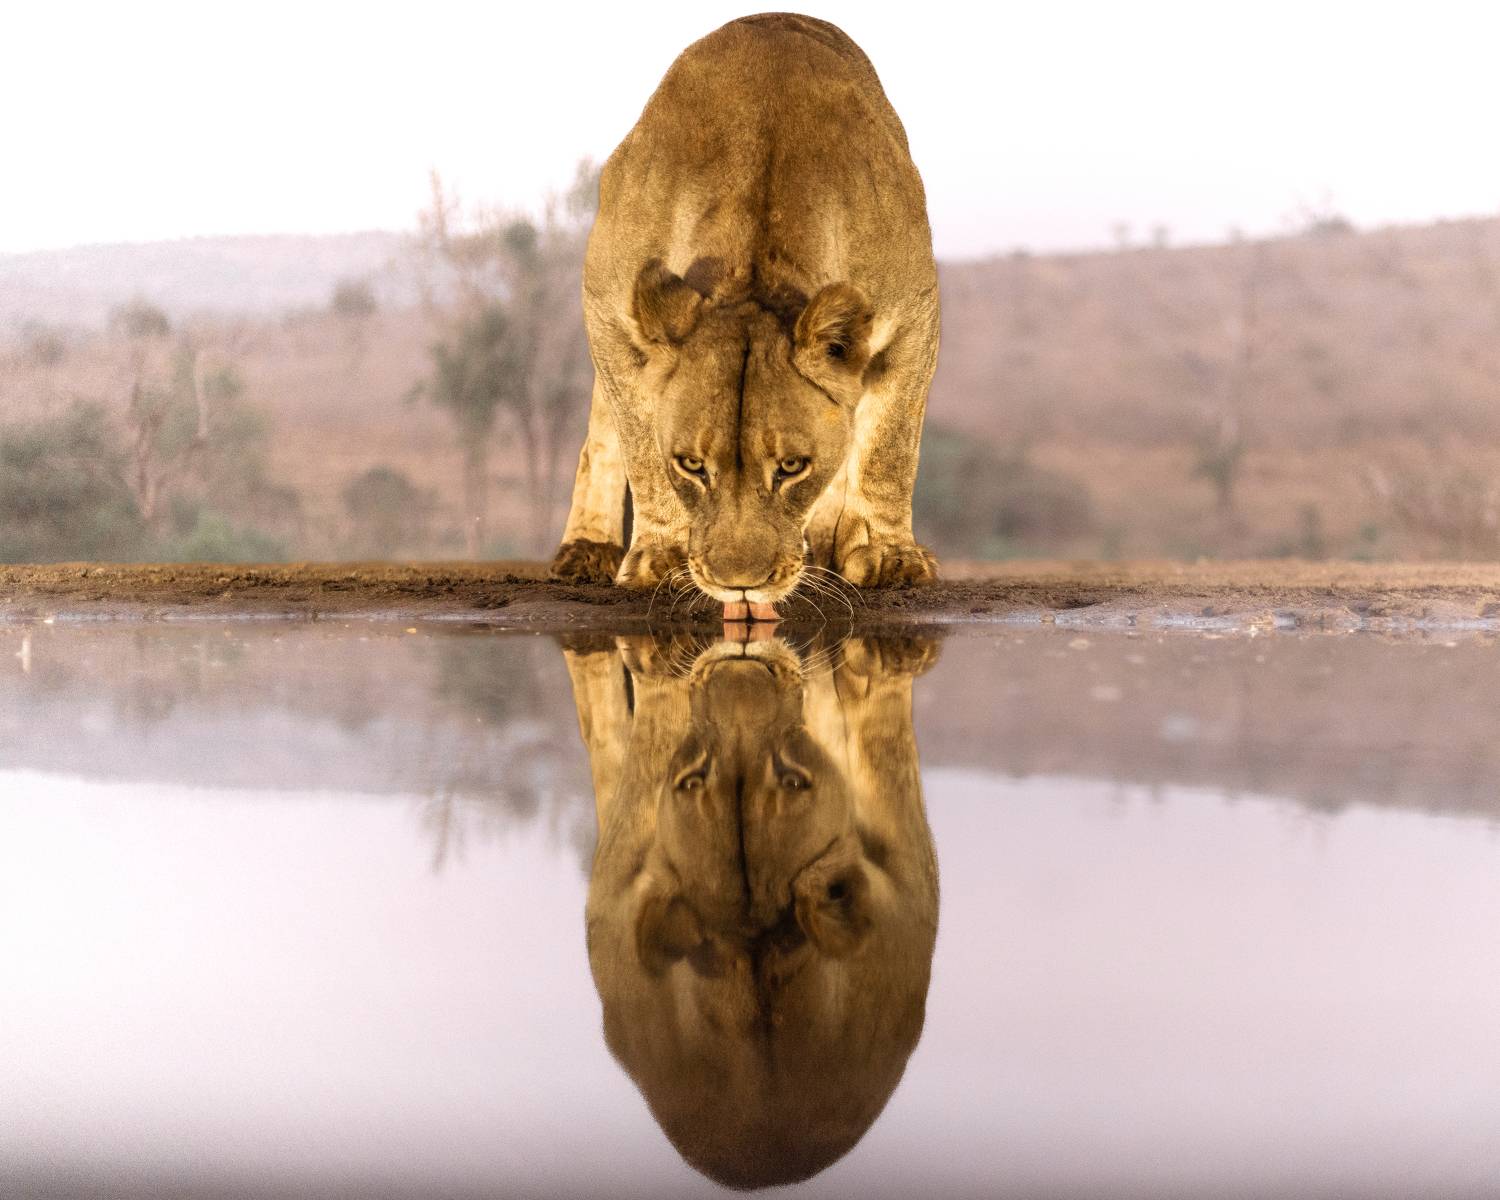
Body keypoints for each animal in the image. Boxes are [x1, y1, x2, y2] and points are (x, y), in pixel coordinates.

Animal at [550, 14, 941, 619]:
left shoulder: (914, 314)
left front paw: (888, 556)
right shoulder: (608, 308)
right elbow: (638, 445)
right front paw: (659, 555)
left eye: (792, 467)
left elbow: (889, 449)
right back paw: (586, 549)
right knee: (600, 436)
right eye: (691, 465)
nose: (740, 585)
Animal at [561, 631, 940, 1189]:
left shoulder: (904, 858)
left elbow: (873, 727)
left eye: (792, 780)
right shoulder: (625, 858)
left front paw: (873, 665)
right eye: (694, 781)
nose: (739, 671)